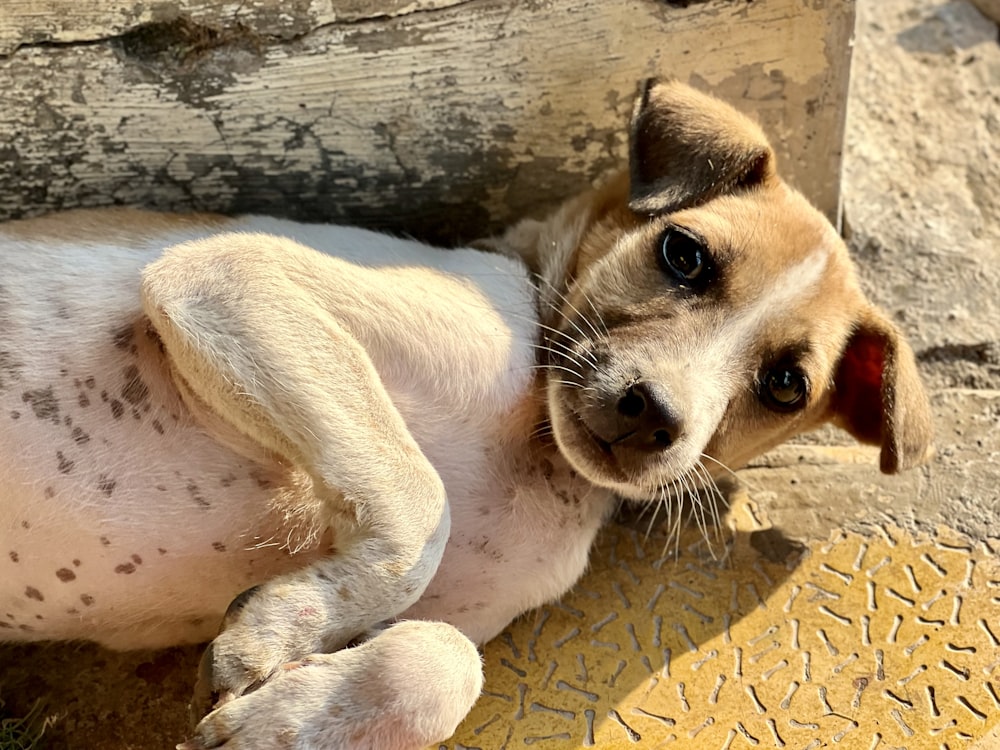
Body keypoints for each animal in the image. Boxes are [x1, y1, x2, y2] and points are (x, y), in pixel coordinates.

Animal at [3, 82, 932, 750]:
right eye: (684, 253)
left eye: (786, 384)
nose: (652, 417)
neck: (537, 451)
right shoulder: (227, 278)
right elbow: (423, 504)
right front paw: (274, 633)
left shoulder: (459, 617)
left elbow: (442, 663)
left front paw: (280, 719)